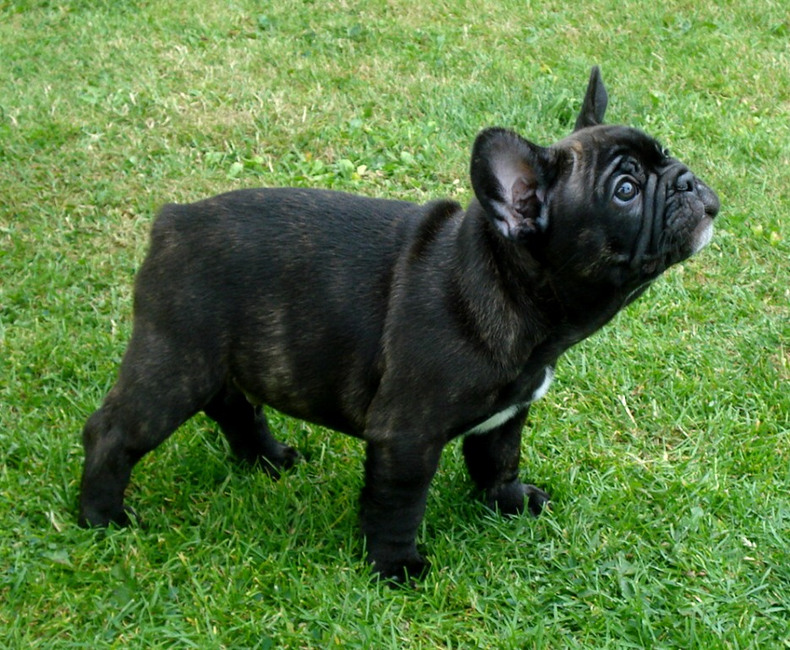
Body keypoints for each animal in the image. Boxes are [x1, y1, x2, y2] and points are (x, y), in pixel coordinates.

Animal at [79, 67, 719, 581]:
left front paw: (510, 503)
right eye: (626, 189)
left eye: (666, 154)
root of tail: (172, 221)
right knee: (113, 433)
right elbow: (398, 505)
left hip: (217, 358)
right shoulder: (406, 438)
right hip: (174, 364)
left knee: (233, 405)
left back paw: (267, 458)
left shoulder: (506, 415)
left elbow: (498, 460)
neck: (506, 283)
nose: (687, 178)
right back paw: (102, 518)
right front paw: (396, 567)